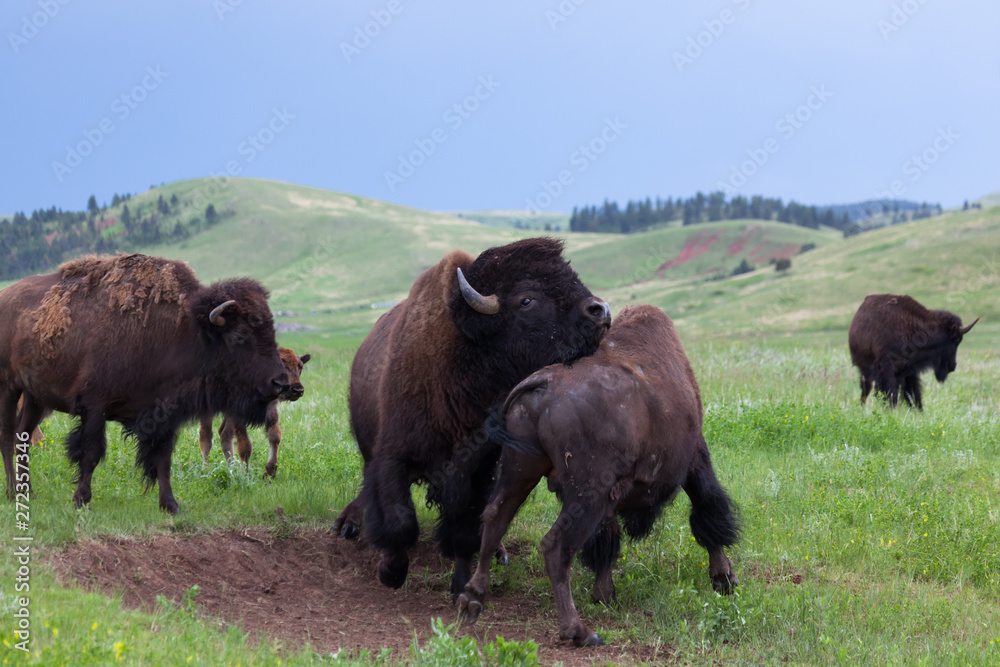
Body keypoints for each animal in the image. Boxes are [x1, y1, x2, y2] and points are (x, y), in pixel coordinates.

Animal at [0, 254, 290, 512]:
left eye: (271, 330)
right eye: (240, 335)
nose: (280, 382)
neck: (187, 330)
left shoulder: (164, 415)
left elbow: (163, 460)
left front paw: (170, 505)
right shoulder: (94, 407)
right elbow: (91, 453)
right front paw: (81, 500)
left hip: (36, 397)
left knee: (22, 436)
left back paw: (28, 492)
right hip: (9, 388)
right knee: (7, 437)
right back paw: (13, 494)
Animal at [200, 344, 312, 480]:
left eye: (300, 366)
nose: (298, 390)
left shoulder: (270, 412)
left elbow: (275, 437)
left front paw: (269, 474)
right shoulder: (237, 415)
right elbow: (245, 446)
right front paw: (246, 476)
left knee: (224, 434)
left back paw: (232, 470)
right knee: (206, 437)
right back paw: (206, 471)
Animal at [334, 239, 608, 600]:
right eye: (527, 299)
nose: (601, 310)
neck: (462, 354)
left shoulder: (476, 469)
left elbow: (464, 527)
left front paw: (460, 584)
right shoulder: (393, 455)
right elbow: (399, 519)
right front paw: (390, 571)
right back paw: (347, 524)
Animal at [458, 304, 736, 648]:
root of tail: (544, 382)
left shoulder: (611, 496)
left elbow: (607, 540)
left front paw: (604, 595)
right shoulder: (696, 458)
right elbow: (707, 510)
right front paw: (724, 578)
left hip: (519, 470)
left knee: (495, 517)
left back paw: (472, 598)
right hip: (584, 495)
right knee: (556, 547)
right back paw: (579, 631)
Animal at [848, 294, 980, 410]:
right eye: (956, 340)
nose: (952, 366)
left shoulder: (909, 370)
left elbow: (913, 393)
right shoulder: (886, 368)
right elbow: (892, 393)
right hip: (865, 370)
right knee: (866, 390)